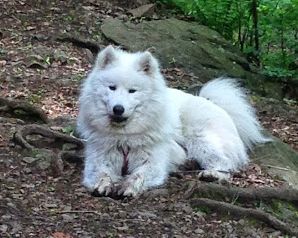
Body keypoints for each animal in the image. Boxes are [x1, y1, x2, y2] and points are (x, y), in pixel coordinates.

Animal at [77, 45, 270, 196]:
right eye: (112, 88)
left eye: (132, 91)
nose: (118, 108)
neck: (125, 138)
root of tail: (215, 104)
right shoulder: (100, 157)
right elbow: (101, 173)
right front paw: (102, 185)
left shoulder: (153, 162)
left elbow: (138, 175)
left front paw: (128, 187)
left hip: (201, 139)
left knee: (226, 164)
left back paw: (212, 174)